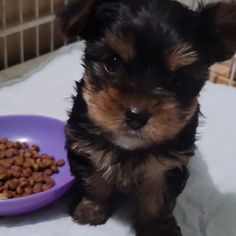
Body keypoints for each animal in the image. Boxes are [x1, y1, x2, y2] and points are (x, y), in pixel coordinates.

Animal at [58, 0, 236, 235]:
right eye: (112, 62)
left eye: (177, 78)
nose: (136, 115)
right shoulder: (84, 143)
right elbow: (94, 180)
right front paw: (91, 209)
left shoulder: (168, 164)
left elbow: (157, 197)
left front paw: (157, 227)